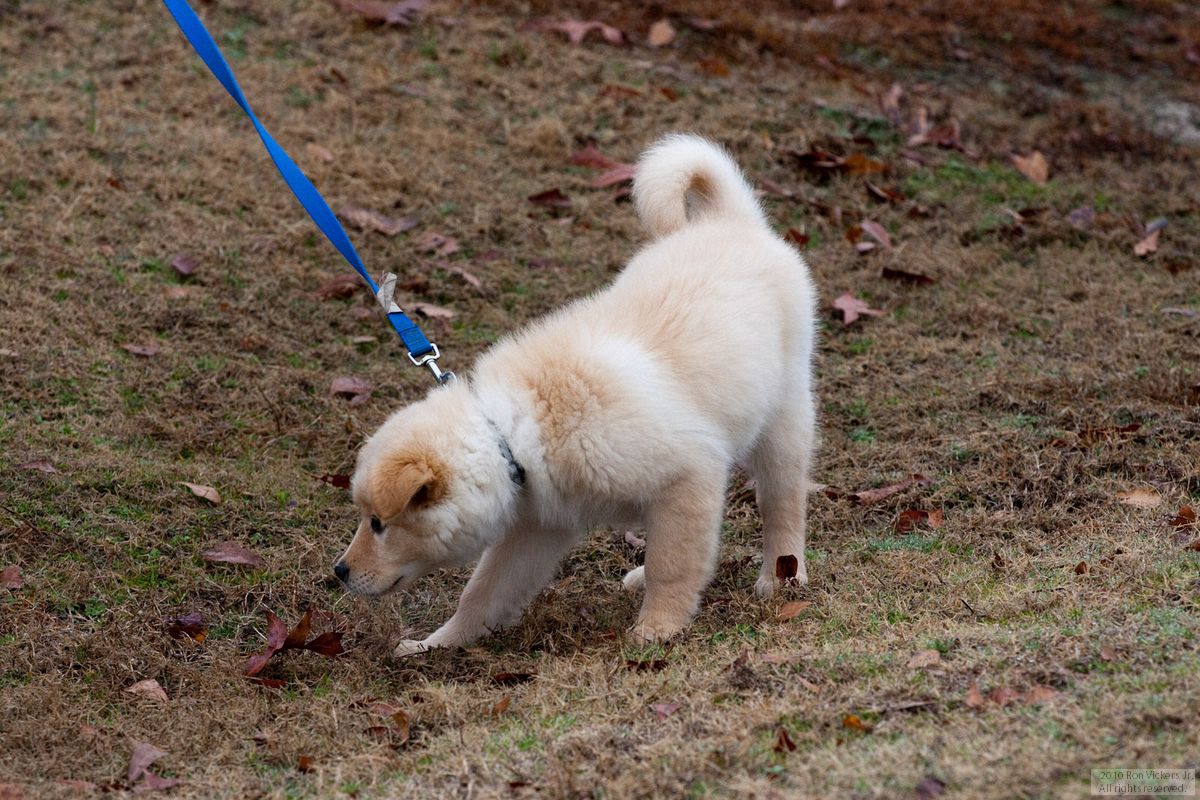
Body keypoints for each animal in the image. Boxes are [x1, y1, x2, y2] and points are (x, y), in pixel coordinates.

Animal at [334, 134, 818, 656]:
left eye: (379, 523)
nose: (339, 572)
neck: (511, 435)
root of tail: (731, 220)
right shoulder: (537, 526)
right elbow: (483, 593)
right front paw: (439, 643)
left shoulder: (690, 477)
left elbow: (673, 567)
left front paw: (656, 629)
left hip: (784, 419)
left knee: (782, 505)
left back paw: (780, 578)